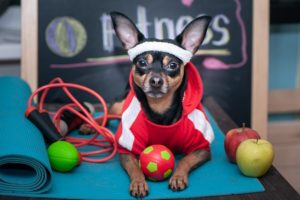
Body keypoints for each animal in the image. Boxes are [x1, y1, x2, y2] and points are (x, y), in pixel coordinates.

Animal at [83, 11, 214, 198]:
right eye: (142, 63)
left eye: (173, 65)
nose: (156, 81)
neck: (160, 109)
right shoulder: (128, 148)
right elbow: (135, 168)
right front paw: (139, 182)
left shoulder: (202, 148)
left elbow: (185, 160)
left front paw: (178, 177)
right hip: (121, 102)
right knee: (109, 109)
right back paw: (91, 124)